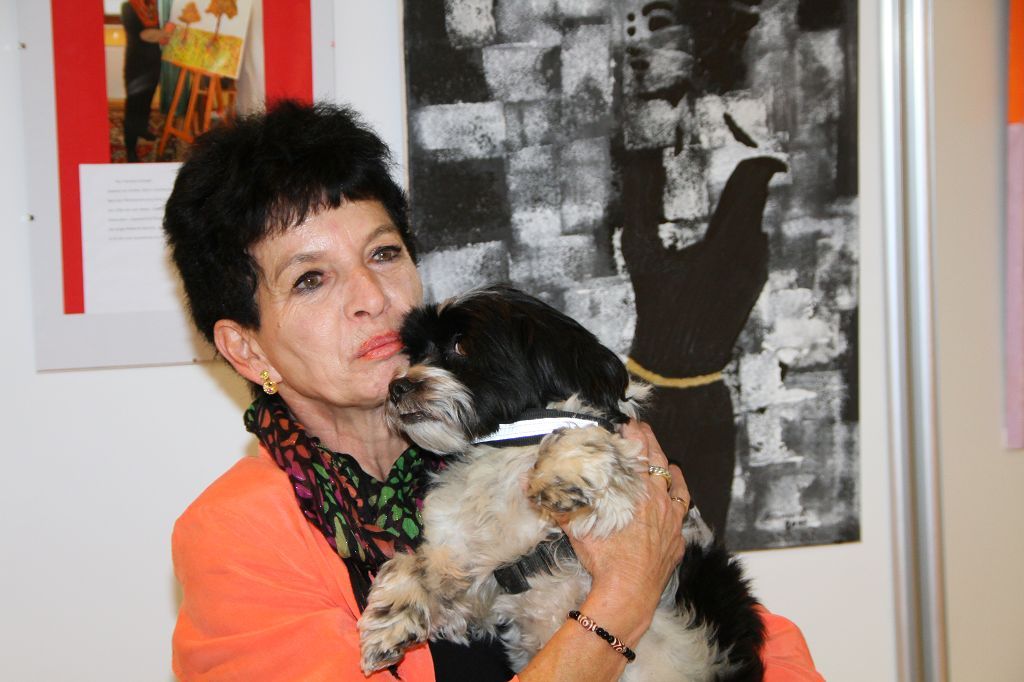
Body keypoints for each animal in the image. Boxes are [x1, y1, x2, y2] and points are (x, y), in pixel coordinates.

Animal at [358, 285, 765, 680]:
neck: (505, 448)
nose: (397, 387)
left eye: (461, 346)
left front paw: (560, 471)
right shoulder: (479, 581)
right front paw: (392, 617)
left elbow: (583, 439)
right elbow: (418, 565)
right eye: (415, 353)